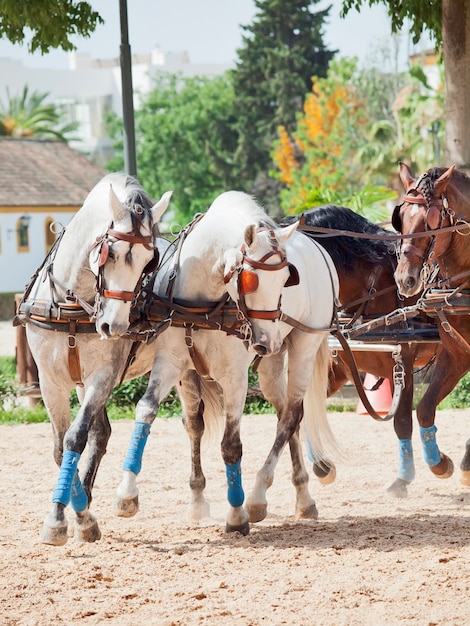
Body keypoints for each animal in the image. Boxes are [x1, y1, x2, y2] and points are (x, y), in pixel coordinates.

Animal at [18, 173, 173, 544]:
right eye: (109, 252)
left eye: (149, 260)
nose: (114, 326)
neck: (74, 304)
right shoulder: (51, 381)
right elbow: (62, 446)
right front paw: (77, 513)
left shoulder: (102, 377)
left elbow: (76, 436)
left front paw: (65, 518)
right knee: (102, 433)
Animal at [115, 190, 340, 532]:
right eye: (250, 280)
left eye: (287, 279)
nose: (265, 341)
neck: (202, 302)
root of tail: (319, 248)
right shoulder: (172, 363)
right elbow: (152, 412)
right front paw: (129, 495)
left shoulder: (235, 376)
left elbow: (231, 444)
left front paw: (236, 514)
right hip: (272, 366)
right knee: (287, 415)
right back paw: (302, 497)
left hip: (303, 344)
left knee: (290, 415)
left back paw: (261, 496)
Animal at [282, 207, 440, 494]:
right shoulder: (338, 367)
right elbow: (304, 409)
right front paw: (322, 465)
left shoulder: (403, 363)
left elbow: (402, 421)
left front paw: (403, 478)